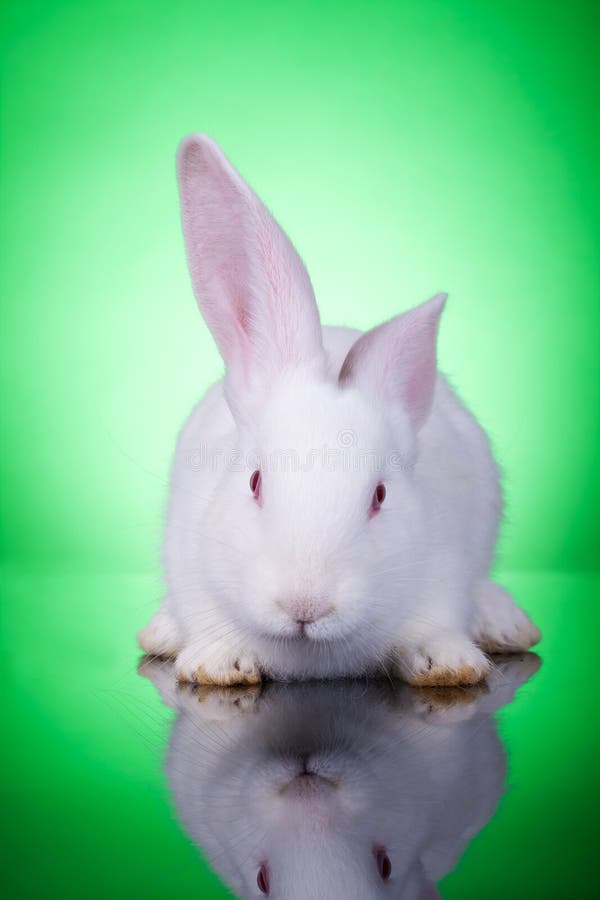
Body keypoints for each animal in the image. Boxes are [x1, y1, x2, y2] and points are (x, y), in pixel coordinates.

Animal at [137, 134, 540, 686]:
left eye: (380, 496)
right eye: (255, 482)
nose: (305, 604)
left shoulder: (444, 572)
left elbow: (437, 628)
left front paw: (448, 665)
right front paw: (217, 663)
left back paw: (504, 623)